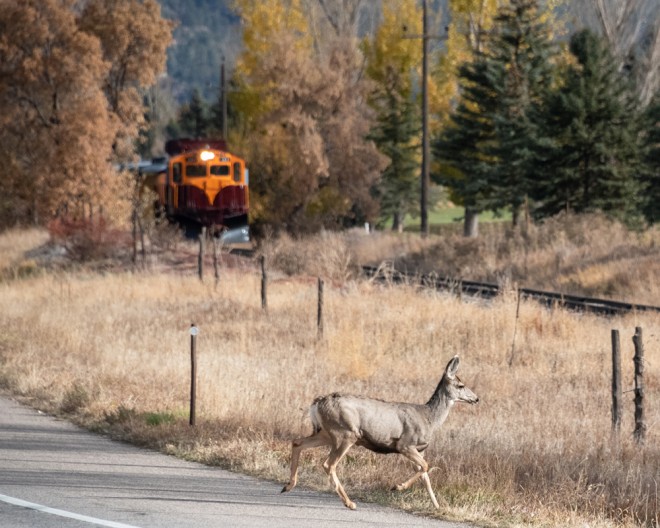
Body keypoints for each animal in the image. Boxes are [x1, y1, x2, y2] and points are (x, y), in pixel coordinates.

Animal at [282, 356, 476, 510]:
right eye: (461, 385)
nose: (476, 398)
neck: (429, 417)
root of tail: (317, 403)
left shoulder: (419, 450)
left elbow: (425, 474)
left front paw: (437, 506)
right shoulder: (405, 444)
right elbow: (426, 466)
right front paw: (397, 486)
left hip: (326, 433)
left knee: (297, 442)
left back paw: (288, 486)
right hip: (345, 432)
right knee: (328, 464)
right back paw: (350, 503)